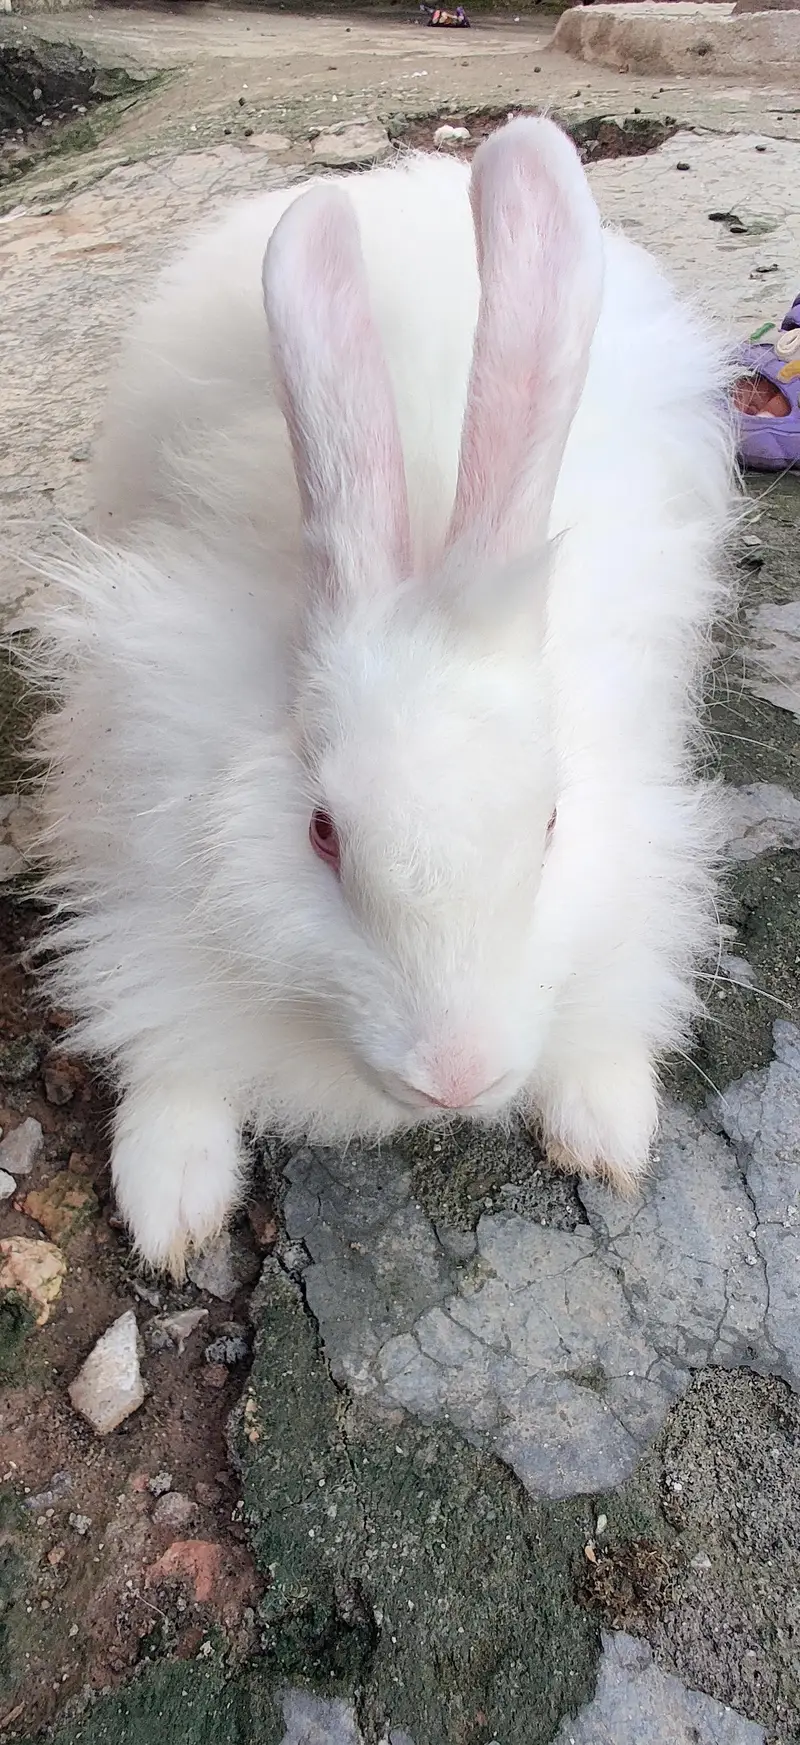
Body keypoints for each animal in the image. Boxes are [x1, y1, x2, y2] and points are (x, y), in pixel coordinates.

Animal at [29, 117, 736, 1275]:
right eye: (320, 831)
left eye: (551, 823)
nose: (452, 1076)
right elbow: (166, 1036)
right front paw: (171, 1197)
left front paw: (606, 1125)